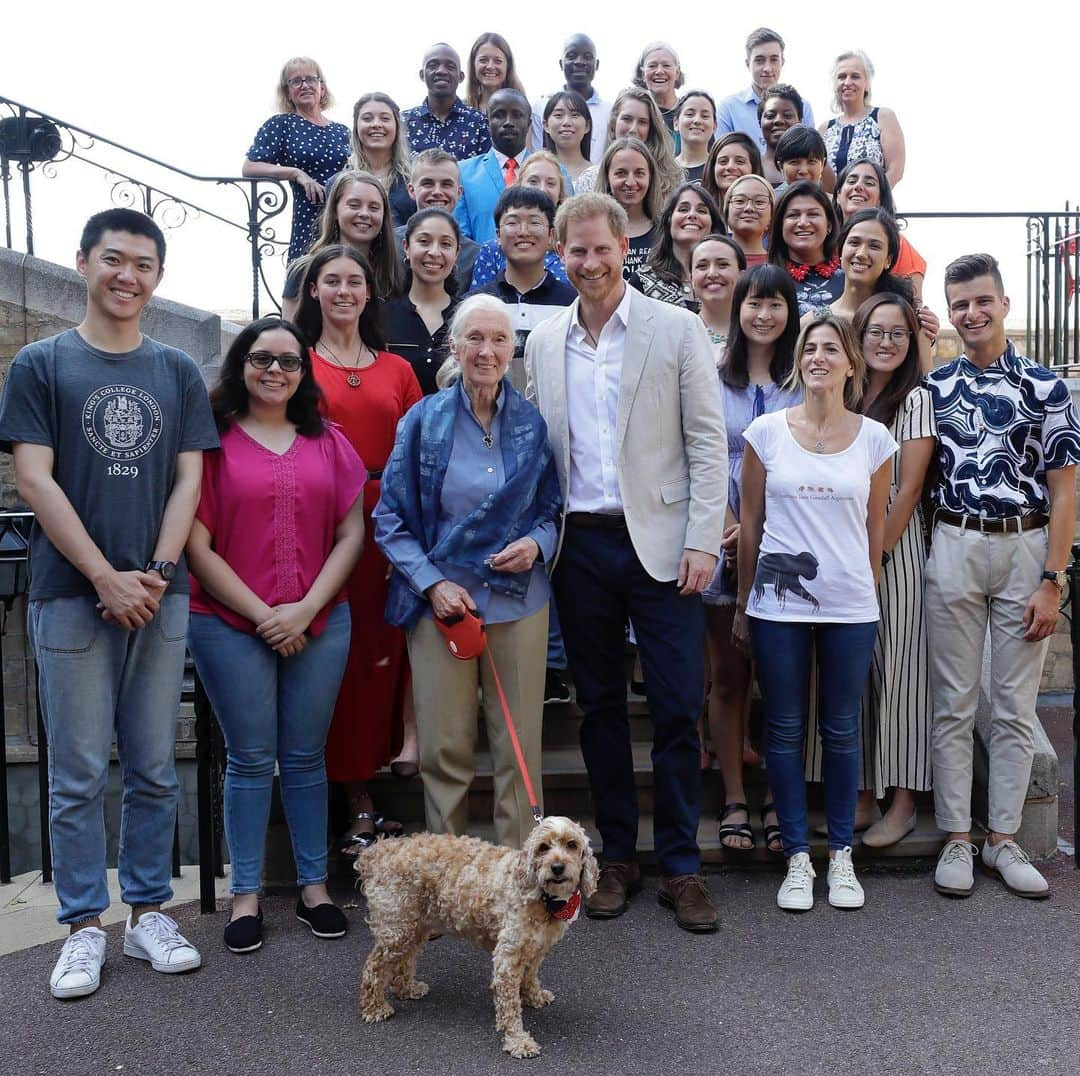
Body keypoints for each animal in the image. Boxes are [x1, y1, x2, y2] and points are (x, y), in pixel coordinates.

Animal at [360, 816, 600, 1058]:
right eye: (543, 847)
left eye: (571, 845)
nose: (557, 867)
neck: (542, 897)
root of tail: (380, 851)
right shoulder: (507, 956)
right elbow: (509, 1006)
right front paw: (518, 1040)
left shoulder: (536, 948)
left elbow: (530, 976)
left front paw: (534, 997)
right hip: (397, 929)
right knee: (374, 966)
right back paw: (375, 1007)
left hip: (414, 927)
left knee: (404, 961)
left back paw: (407, 988)